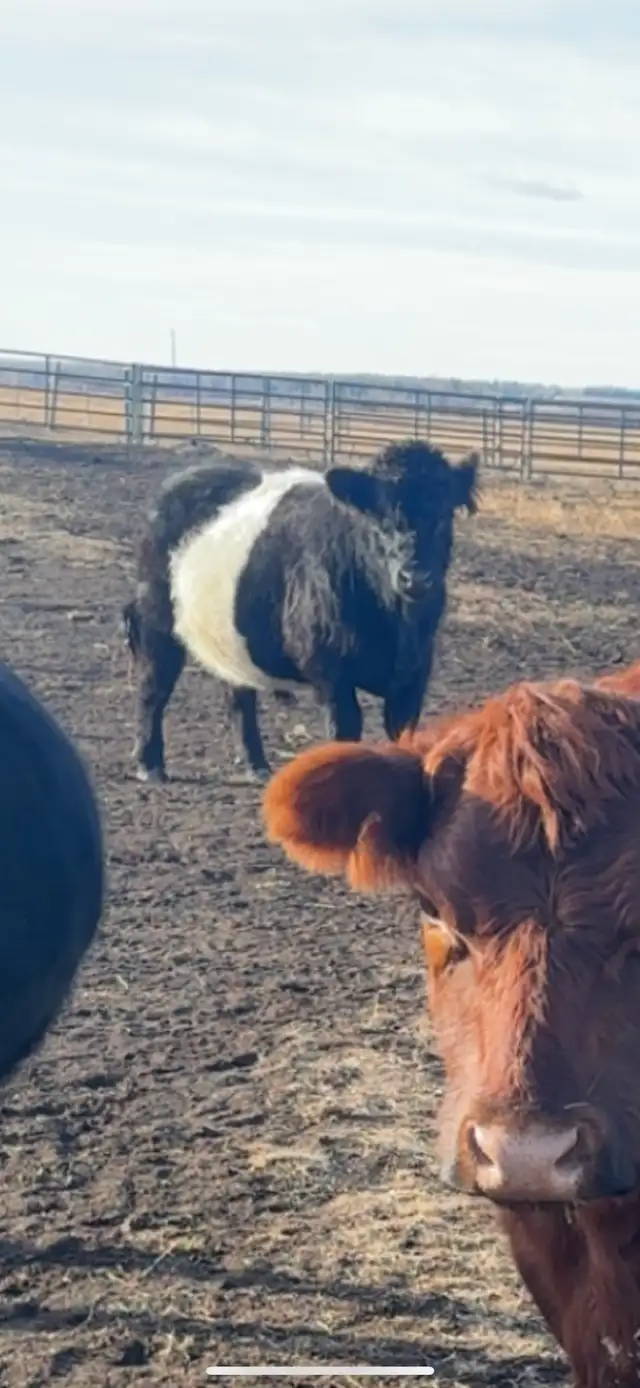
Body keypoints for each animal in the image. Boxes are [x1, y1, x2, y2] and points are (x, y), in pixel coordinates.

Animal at [122, 440, 477, 784]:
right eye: (377, 518)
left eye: (444, 515)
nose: (415, 577)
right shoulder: (330, 672)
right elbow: (345, 730)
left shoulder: (412, 680)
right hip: (156, 619)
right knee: (154, 687)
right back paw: (150, 764)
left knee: (238, 696)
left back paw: (256, 766)